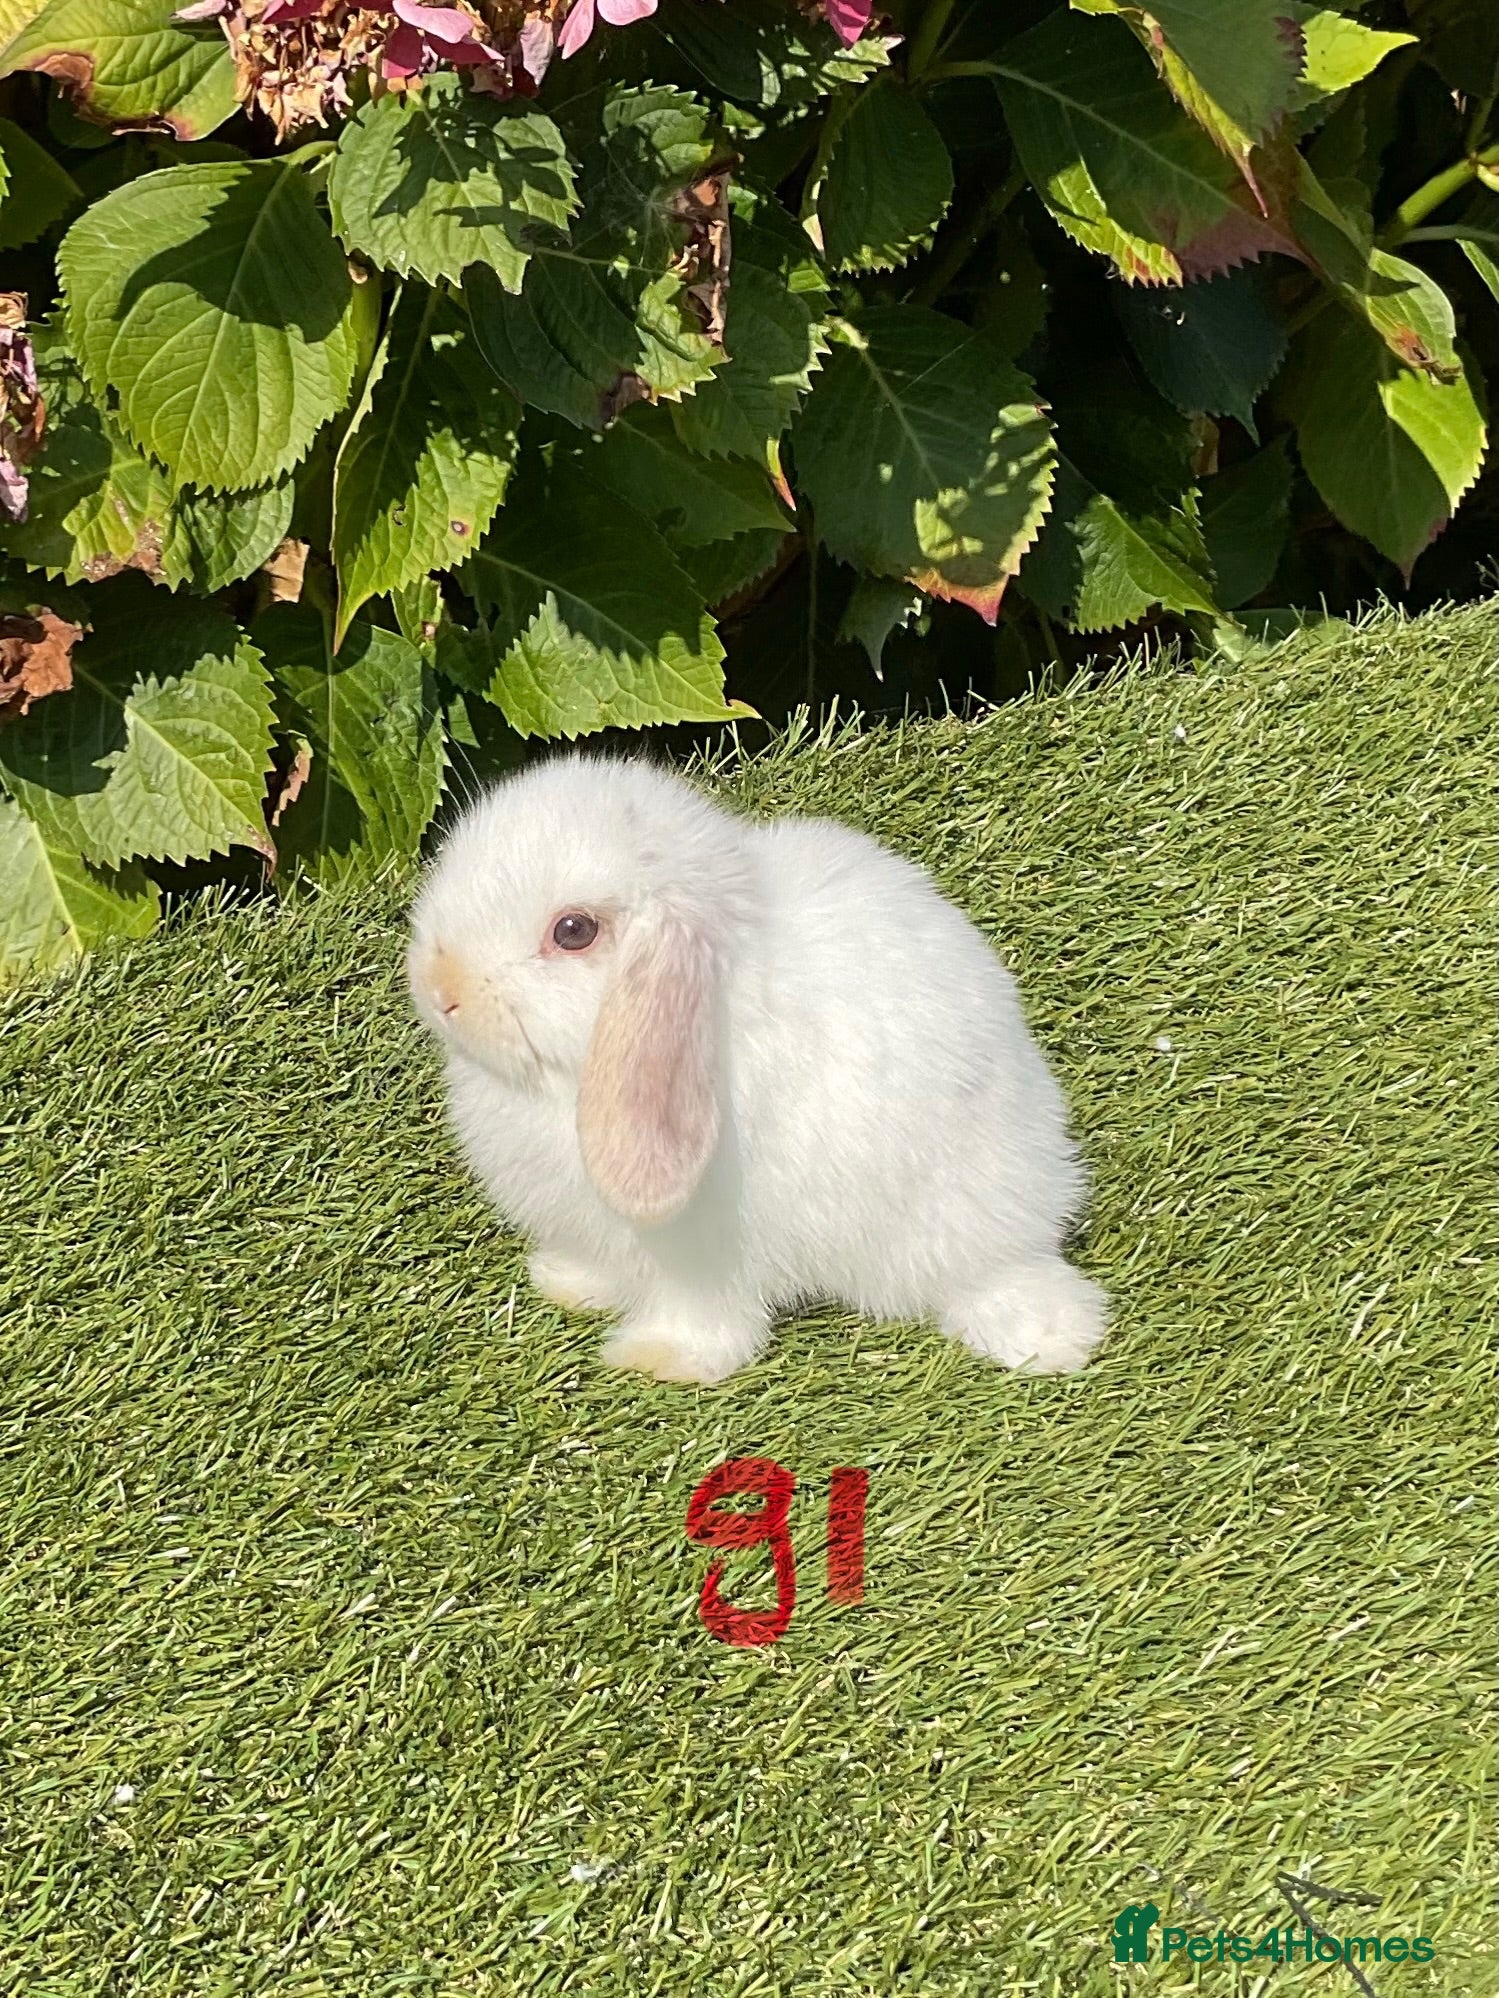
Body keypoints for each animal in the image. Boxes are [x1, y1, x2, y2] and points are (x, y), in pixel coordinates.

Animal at [407, 751, 1108, 1386]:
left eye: (574, 930)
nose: (441, 988)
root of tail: (1037, 1209)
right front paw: (564, 1282)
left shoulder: (704, 1253)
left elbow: (705, 1317)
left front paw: (660, 1360)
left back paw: (1053, 1339)